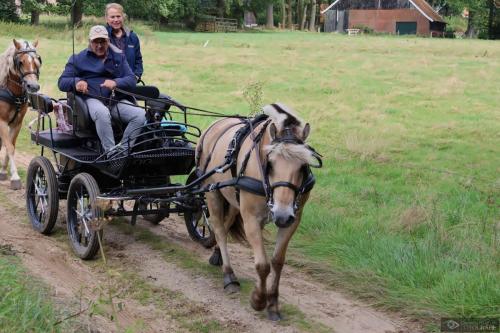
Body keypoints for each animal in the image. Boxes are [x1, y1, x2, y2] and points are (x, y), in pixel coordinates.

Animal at [0, 39, 42, 188]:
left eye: (37, 61)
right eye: (21, 62)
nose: (33, 86)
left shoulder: (17, 123)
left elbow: (11, 145)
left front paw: (3, 172)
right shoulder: (1, 122)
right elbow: (9, 147)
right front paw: (15, 177)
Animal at [196, 103, 320, 320]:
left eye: (303, 166)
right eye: (270, 163)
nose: (281, 215)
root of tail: (215, 124)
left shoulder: (293, 220)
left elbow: (277, 261)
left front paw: (273, 304)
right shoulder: (251, 219)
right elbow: (262, 264)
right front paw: (258, 300)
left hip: (233, 199)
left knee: (225, 226)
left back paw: (217, 255)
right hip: (212, 192)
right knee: (219, 228)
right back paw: (229, 276)